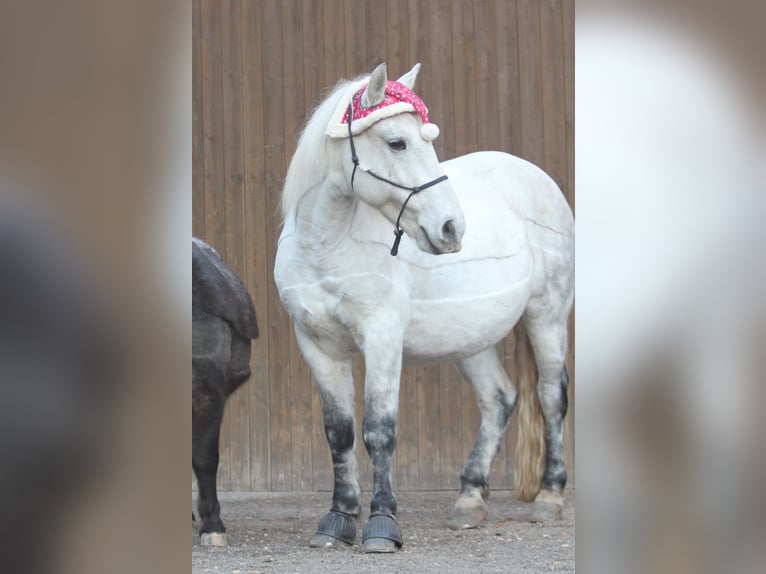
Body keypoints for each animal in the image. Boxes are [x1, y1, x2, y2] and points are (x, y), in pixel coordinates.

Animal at [274, 63, 574, 553]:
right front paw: (338, 519)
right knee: (498, 398)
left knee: (551, 396)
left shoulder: (382, 338)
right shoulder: (317, 345)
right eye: (397, 142)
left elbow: (379, 431)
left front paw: (381, 524)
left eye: (428, 139)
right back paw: (470, 499)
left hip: (546, 315)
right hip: (470, 338)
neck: (327, 247)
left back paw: (550, 496)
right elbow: (339, 433)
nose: (451, 228)